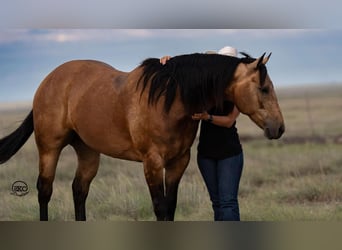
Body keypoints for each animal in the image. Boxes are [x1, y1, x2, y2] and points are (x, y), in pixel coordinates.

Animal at [0, 52, 284, 221]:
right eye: (263, 88)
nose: (279, 128)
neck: (169, 101)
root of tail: (48, 81)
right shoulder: (152, 163)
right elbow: (159, 207)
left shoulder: (178, 162)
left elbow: (171, 205)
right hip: (49, 148)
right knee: (44, 190)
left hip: (88, 152)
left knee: (79, 190)